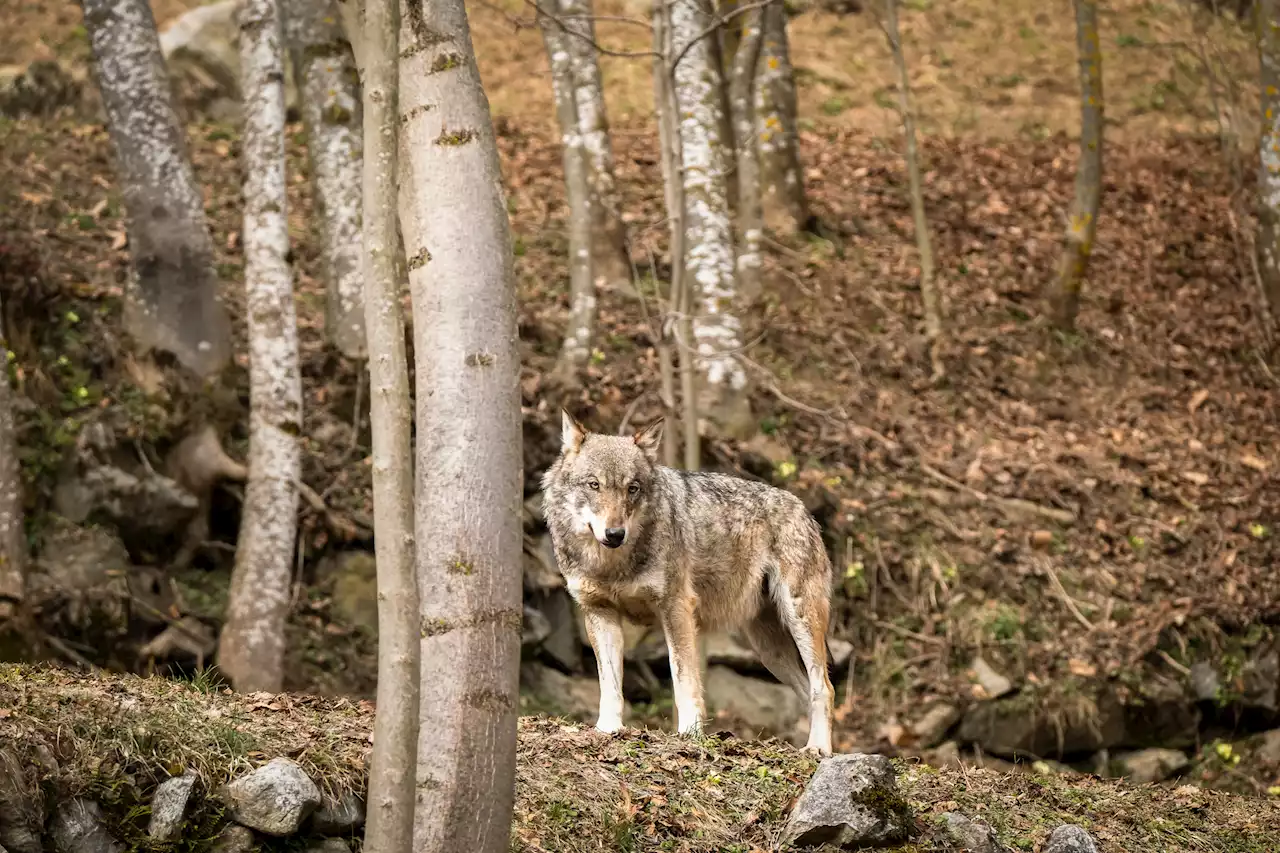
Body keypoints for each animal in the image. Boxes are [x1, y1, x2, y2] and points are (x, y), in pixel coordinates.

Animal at [542, 409, 834, 753]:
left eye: (633, 488)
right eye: (594, 484)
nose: (615, 534)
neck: (612, 564)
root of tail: (804, 510)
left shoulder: (676, 607)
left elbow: (683, 678)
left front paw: (690, 734)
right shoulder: (599, 612)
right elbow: (610, 685)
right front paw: (607, 729)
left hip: (798, 620)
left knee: (824, 687)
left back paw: (819, 750)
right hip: (768, 649)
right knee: (808, 689)